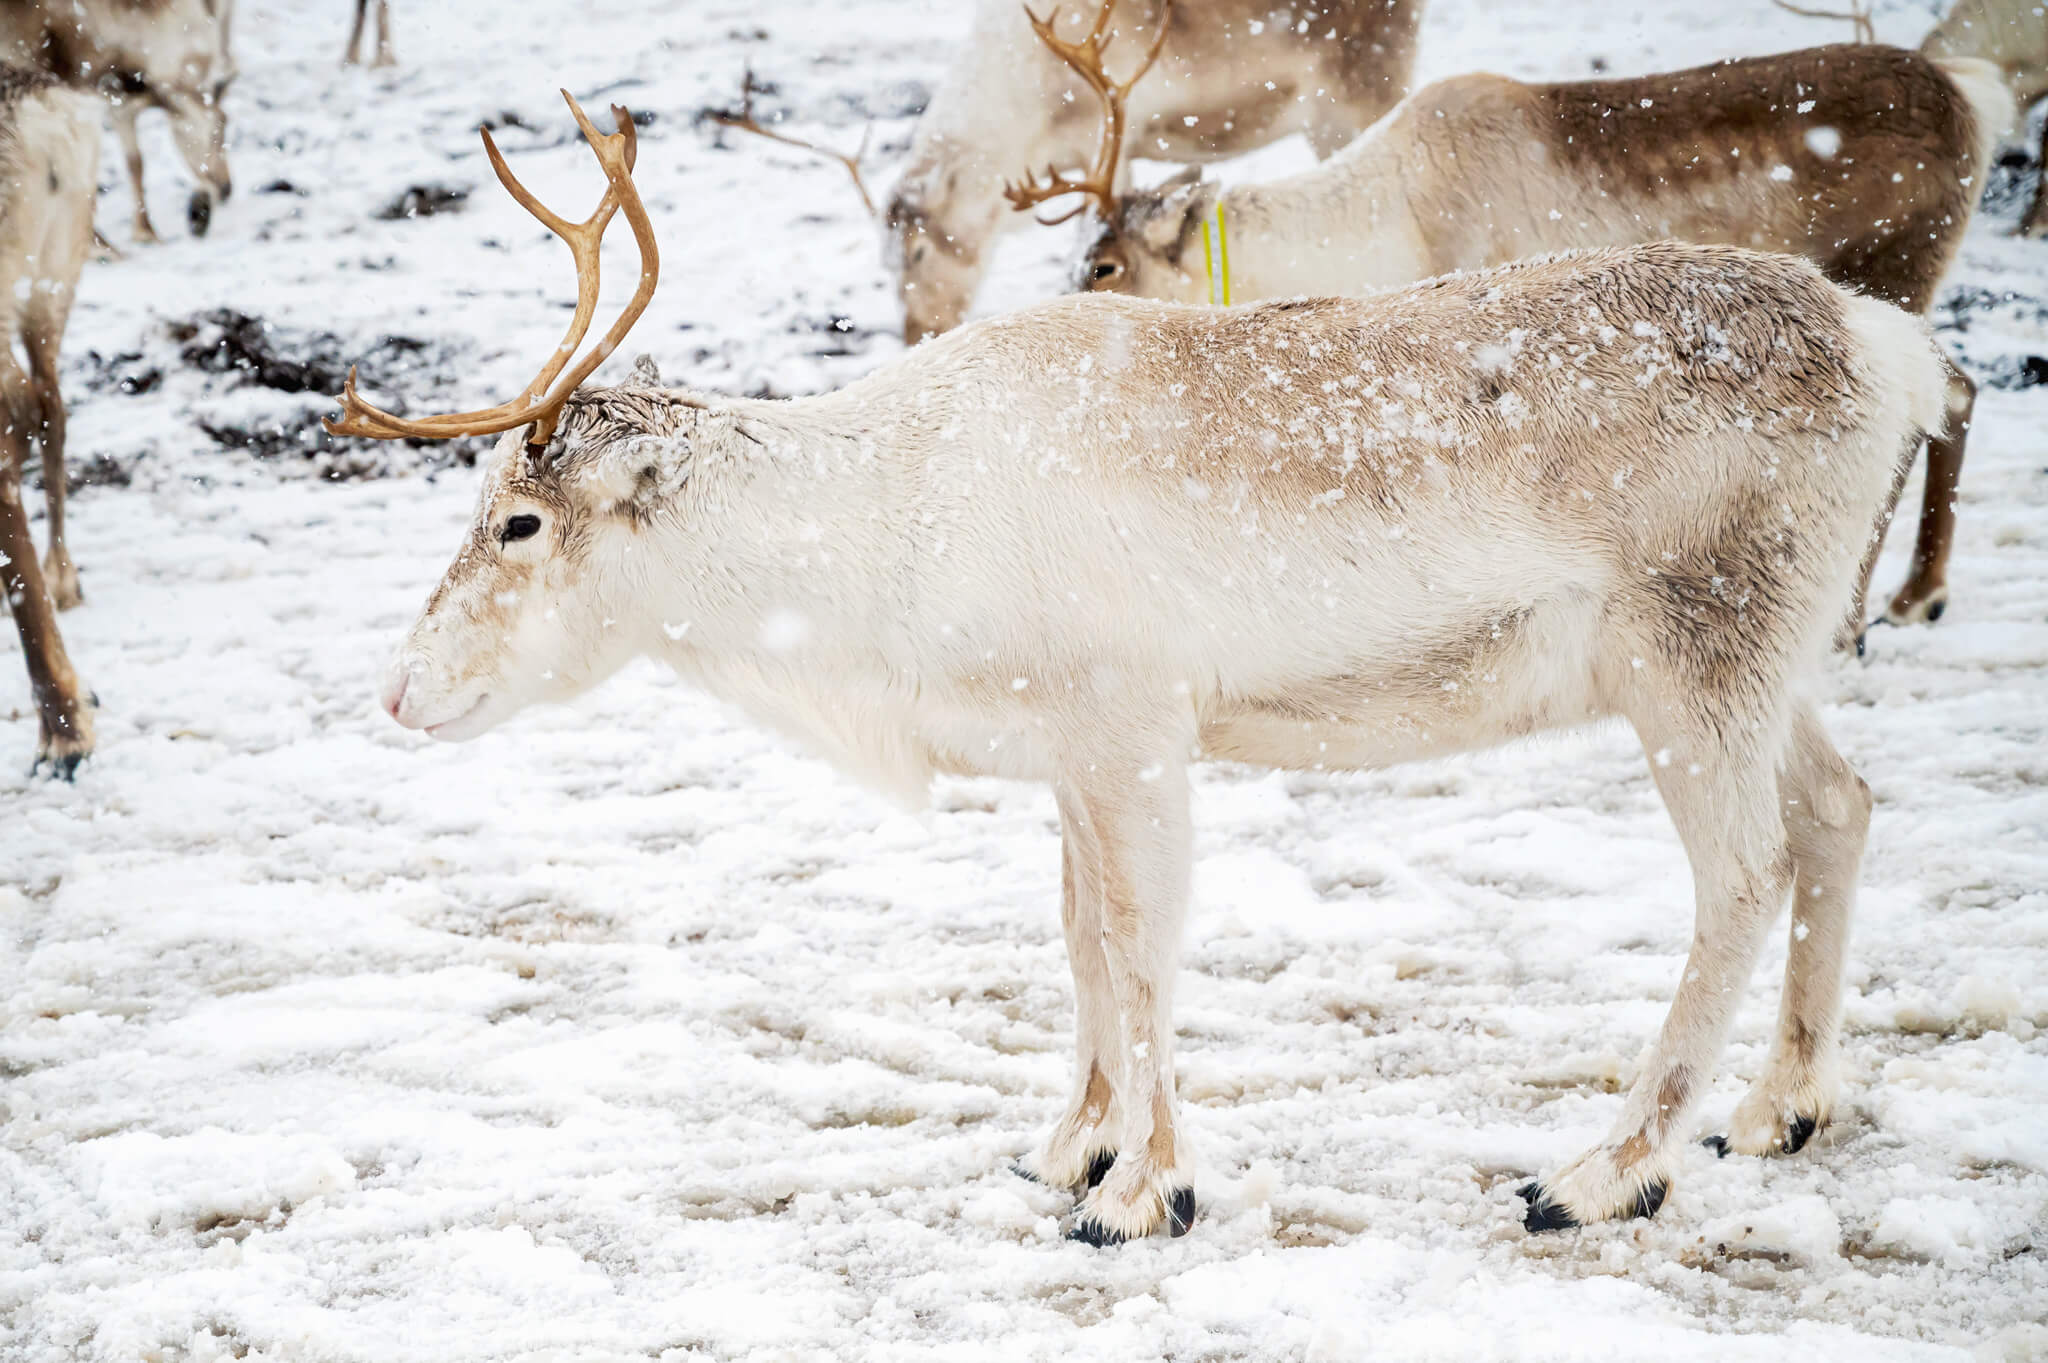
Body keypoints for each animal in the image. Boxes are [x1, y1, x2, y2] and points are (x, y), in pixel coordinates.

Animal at [0, 0, 236, 243]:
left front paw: (145, 231)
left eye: (224, 129)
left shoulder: (117, 96)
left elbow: (135, 162)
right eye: (215, 136)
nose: (226, 189)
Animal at [331, 91, 1951, 1244]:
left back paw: (1602, 1171)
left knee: (1740, 874)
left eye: (521, 519)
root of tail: (1895, 352)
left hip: (1694, 653)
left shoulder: (1133, 726)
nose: (400, 691)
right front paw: (1074, 1143)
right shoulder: (1063, 755)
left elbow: (1146, 936)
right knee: (1842, 805)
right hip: (1762, 656)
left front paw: (1143, 1190)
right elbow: (1080, 938)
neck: (875, 549)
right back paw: (1785, 1107)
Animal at [1023, 40, 2015, 639]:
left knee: (1938, 397)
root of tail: (1975, 95)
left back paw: (1877, 607)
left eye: (1103, 265)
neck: (1381, 221)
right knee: (1956, 390)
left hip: (1895, 269)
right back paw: (1908, 596)